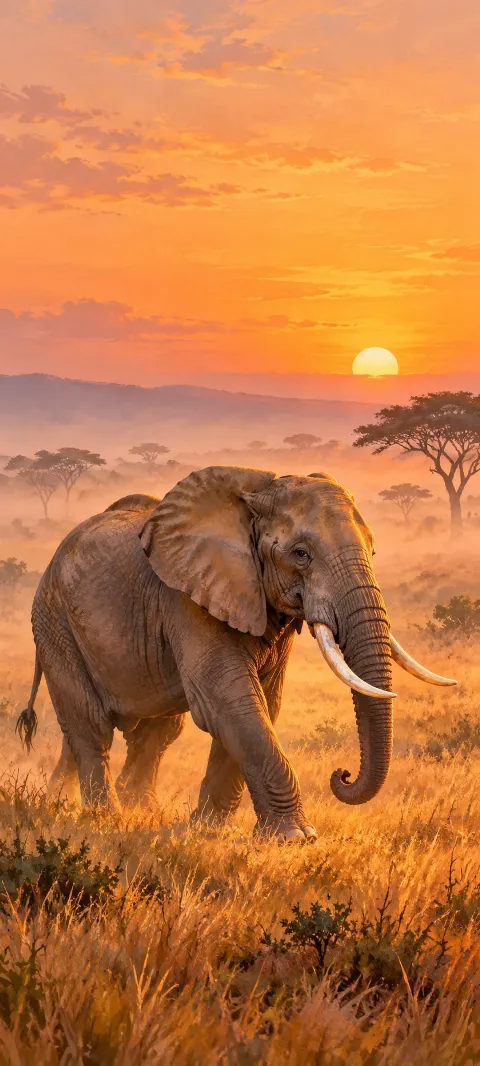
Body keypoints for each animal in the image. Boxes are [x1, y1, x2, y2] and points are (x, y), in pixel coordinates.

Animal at [17, 466, 456, 842]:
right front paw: (295, 838)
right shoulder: (187, 597)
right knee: (91, 724)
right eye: (301, 554)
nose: (342, 774)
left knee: (154, 732)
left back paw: (123, 808)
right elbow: (229, 700)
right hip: (54, 621)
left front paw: (209, 829)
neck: (256, 496)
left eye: (373, 551)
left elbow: (263, 700)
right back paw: (105, 818)